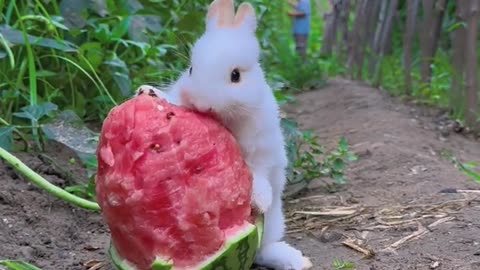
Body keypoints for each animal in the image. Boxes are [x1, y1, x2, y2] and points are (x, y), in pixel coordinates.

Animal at [135, 1, 312, 268]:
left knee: (266, 248)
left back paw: (295, 260)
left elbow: (258, 172)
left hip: (273, 226)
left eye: (235, 76)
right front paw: (148, 91)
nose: (202, 104)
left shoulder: (263, 149)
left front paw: (261, 201)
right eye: (191, 69)